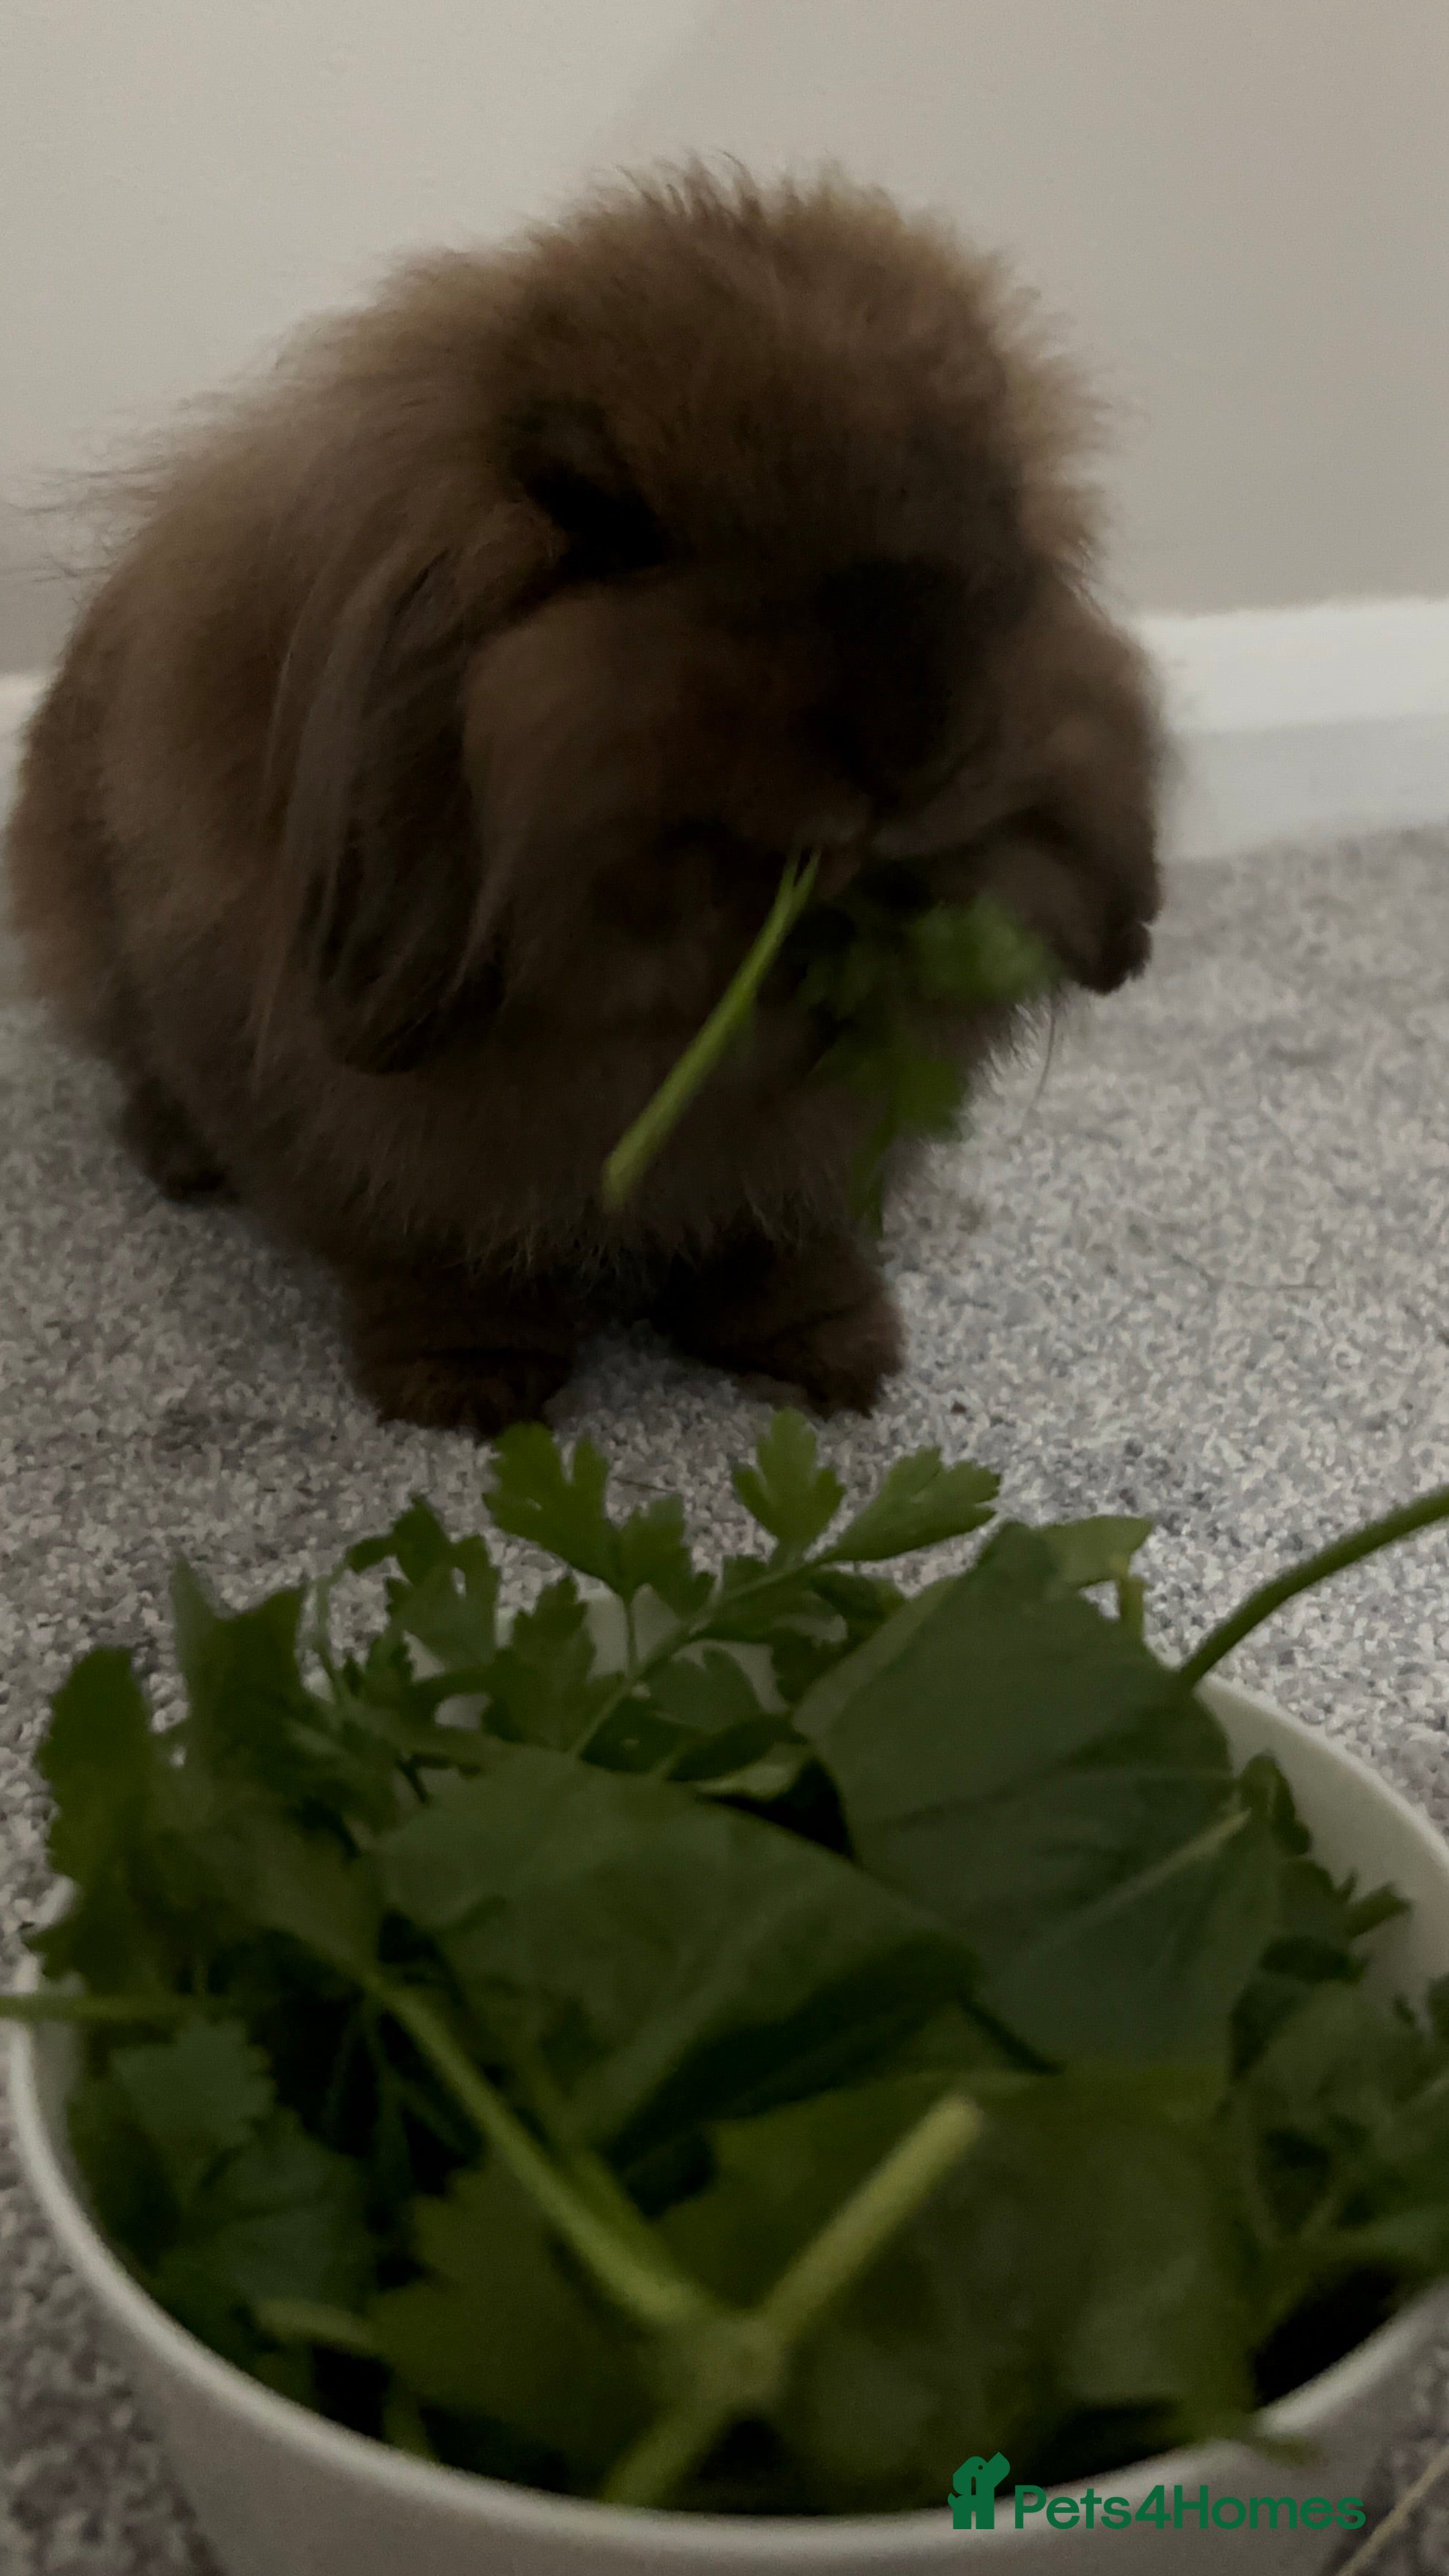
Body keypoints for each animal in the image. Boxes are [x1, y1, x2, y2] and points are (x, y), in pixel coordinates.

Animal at [4, 166, 1163, 1436]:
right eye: (619, 528)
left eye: (999, 524)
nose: (916, 746)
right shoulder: (390, 1132)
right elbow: (433, 1253)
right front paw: (469, 1395)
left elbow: (781, 1243)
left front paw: (836, 1360)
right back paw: (186, 1165)